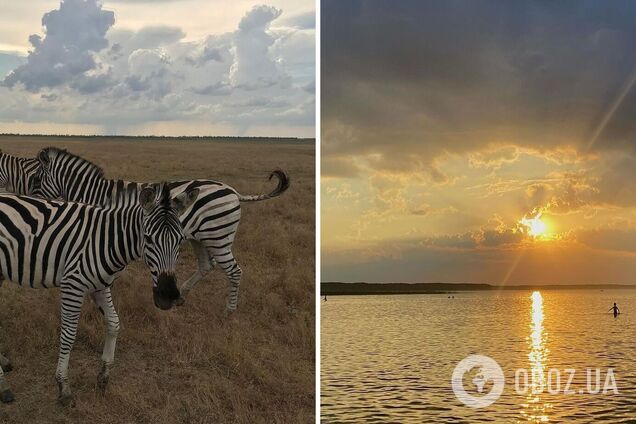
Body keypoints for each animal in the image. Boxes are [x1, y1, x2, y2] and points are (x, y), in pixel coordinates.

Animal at [0, 183, 198, 408]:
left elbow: (114, 324)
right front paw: (63, 386)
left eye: (180, 240)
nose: (168, 295)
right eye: (148, 238)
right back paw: (4, 386)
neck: (105, 239)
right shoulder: (73, 285)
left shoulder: (100, 287)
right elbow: (68, 335)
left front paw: (103, 376)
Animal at [30, 149, 288, 312]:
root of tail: (234, 191)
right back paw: (182, 295)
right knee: (207, 266)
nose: (31, 202)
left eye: (35, 180)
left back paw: (229, 311)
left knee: (234, 272)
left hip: (219, 239)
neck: (98, 196)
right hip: (200, 238)